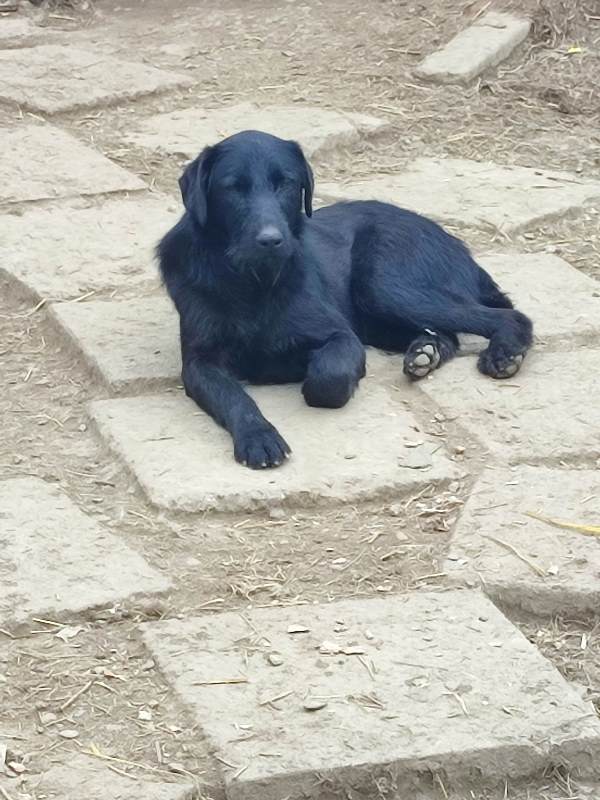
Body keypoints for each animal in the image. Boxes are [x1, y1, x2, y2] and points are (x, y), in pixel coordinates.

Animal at [157, 131, 532, 468]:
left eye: (285, 183)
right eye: (233, 187)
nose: (271, 240)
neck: (254, 282)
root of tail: (454, 242)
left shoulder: (341, 336)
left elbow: (327, 378)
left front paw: (300, 370)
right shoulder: (199, 363)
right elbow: (234, 397)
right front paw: (258, 436)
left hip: (383, 285)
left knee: (509, 317)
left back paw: (503, 354)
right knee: (447, 335)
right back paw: (425, 353)